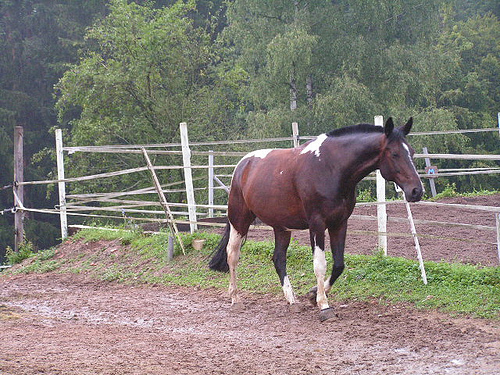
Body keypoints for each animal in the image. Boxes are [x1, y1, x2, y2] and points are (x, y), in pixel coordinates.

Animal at [209, 118, 424, 324]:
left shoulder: (339, 223)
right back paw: (236, 299)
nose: (416, 191)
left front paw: (313, 295)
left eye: (412, 152)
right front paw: (324, 306)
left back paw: (292, 301)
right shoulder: (317, 225)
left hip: (281, 227)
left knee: (278, 259)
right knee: (232, 255)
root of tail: (243, 165)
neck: (331, 168)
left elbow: (339, 264)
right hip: (239, 220)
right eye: (394, 154)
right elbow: (320, 264)